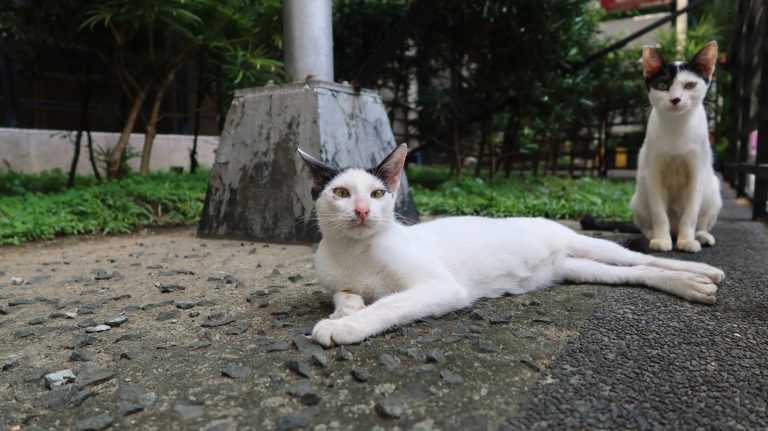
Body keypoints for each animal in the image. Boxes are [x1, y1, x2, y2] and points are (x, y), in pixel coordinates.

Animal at [300, 146, 728, 348]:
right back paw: (692, 286)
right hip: (576, 268)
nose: (361, 210)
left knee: (639, 257)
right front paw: (346, 311)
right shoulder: (337, 280)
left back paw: (703, 271)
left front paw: (345, 326)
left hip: (590, 246)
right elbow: (345, 293)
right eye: (341, 193)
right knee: (634, 273)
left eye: (376, 194)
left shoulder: (440, 286)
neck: (355, 252)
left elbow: (388, 305)